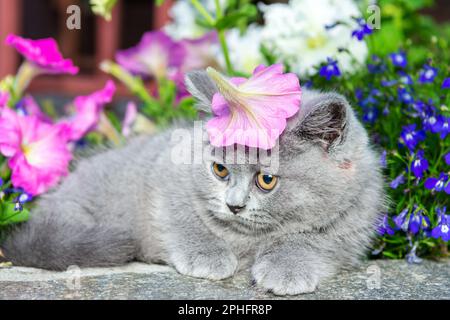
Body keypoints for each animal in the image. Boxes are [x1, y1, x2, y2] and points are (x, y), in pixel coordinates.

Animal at [1, 72, 384, 296]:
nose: (234, 205)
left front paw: (286, 267)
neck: (247, 241)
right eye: (219, 169)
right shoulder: (166, 177)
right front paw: (208, 255)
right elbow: (184, 219)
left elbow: (311, 240)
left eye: (266, 179)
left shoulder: (353, 222)